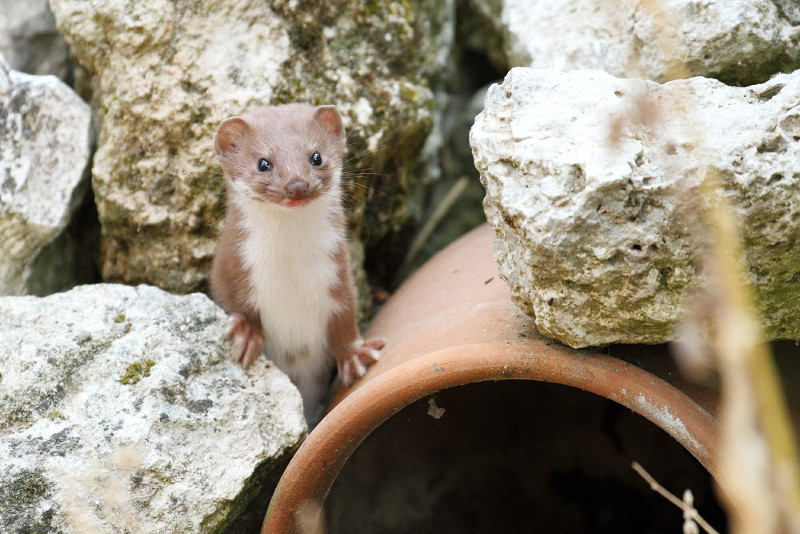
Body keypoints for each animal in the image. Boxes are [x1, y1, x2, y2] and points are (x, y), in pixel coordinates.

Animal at [209, 102, 384, 426]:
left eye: (316, 156)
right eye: (263, 163)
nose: (297, 185)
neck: (290, 272)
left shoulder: (338, 274)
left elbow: (345, 317)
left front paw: (356, 355)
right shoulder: (229, 267)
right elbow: (232, 299)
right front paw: (246, 334)